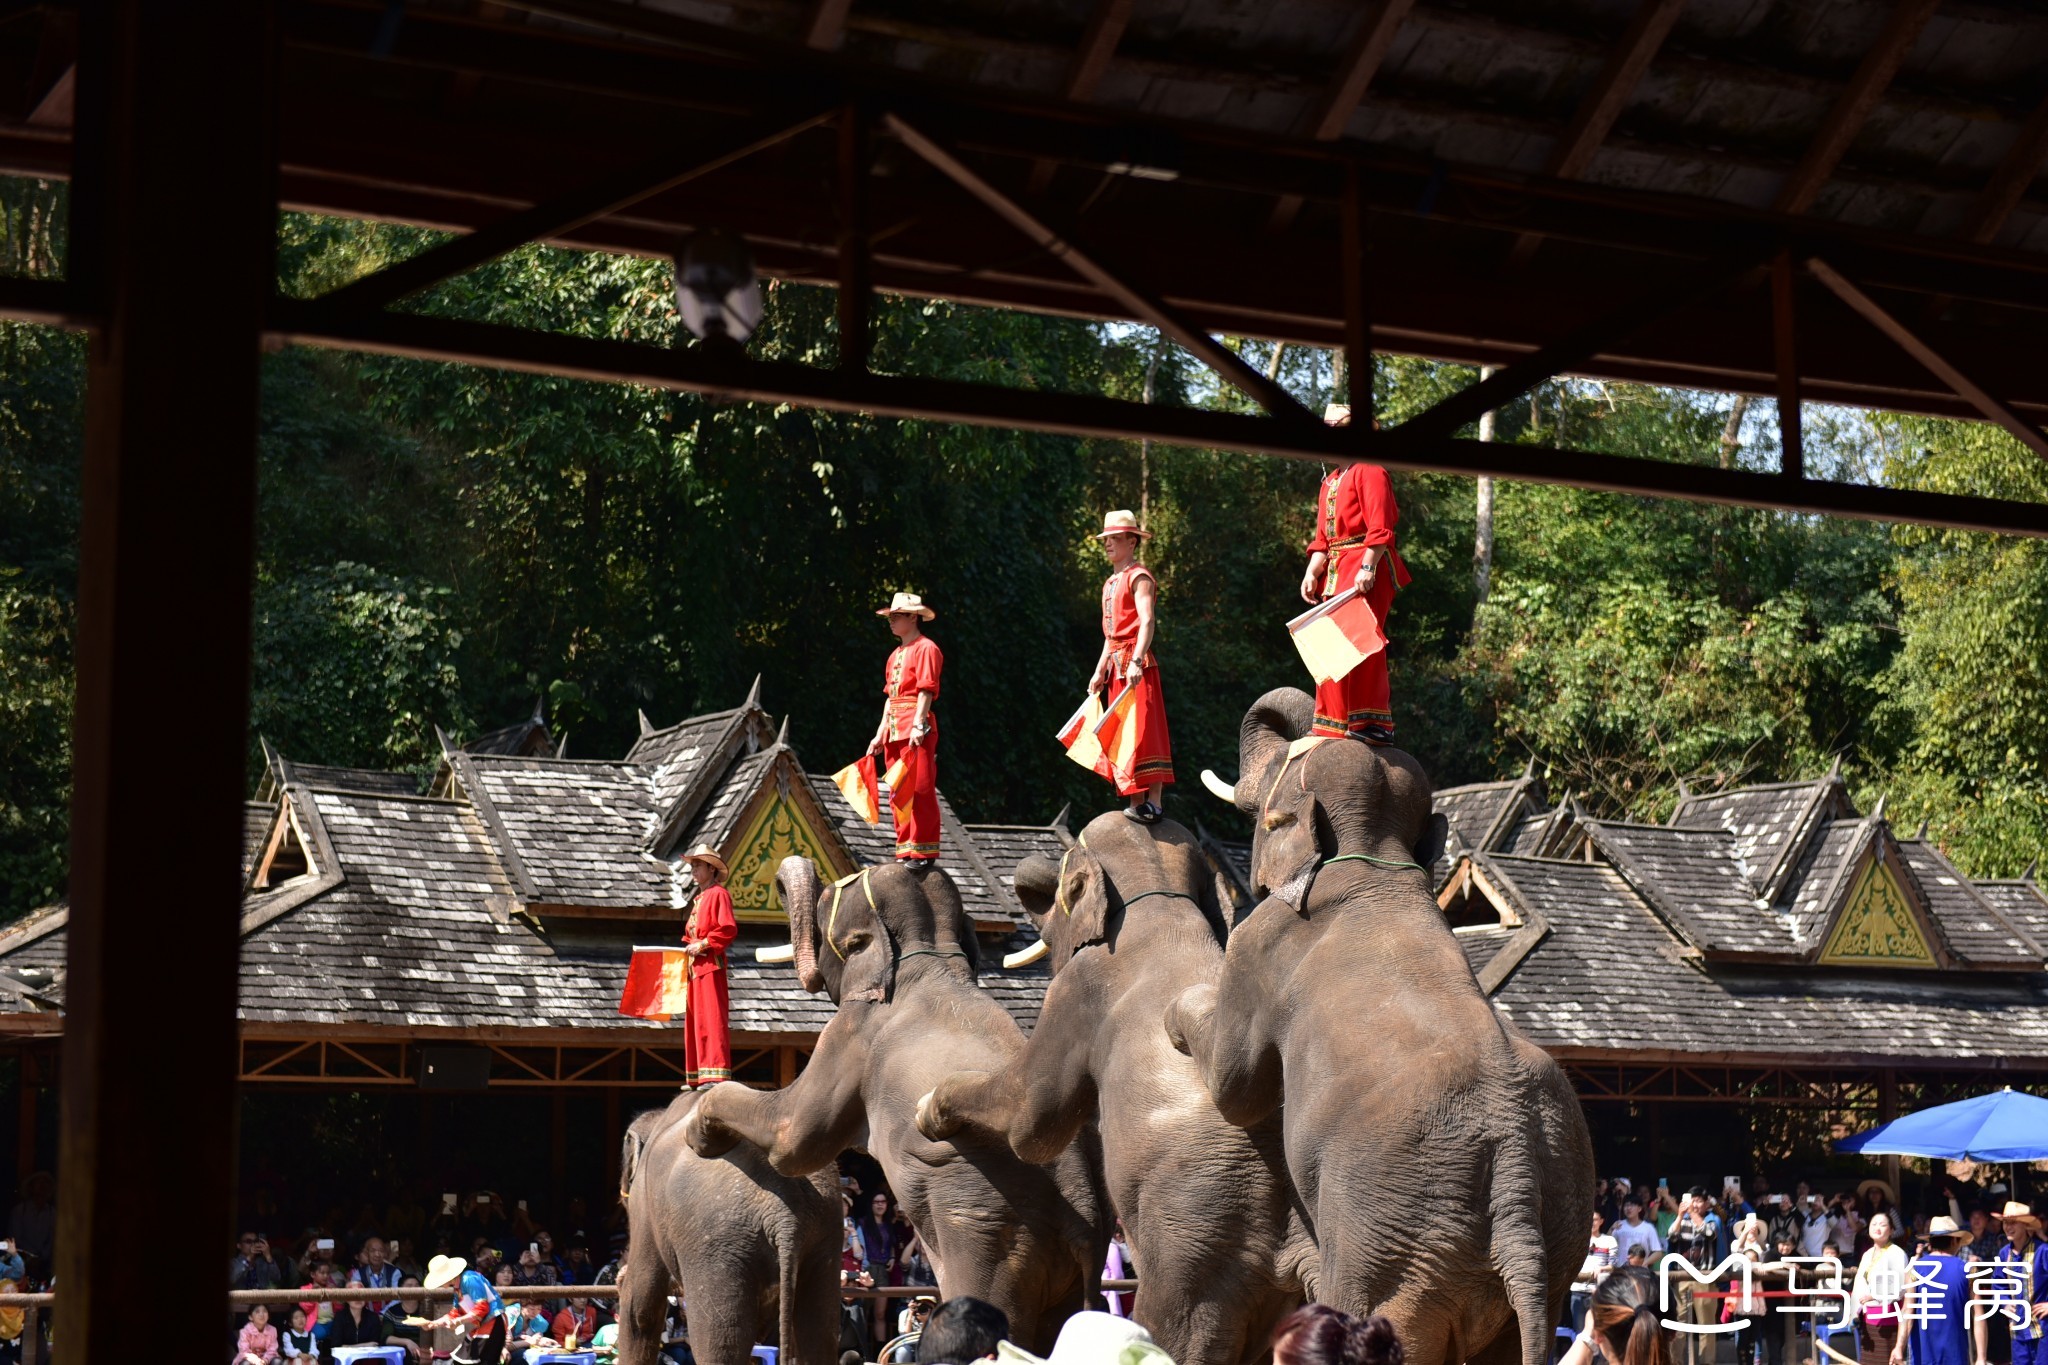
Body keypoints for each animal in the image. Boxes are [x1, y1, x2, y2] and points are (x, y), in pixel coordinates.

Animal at [606, 1088, 839, 1365]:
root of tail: (785, 1217)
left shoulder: (645, 1201)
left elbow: (641, 1304)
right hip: (822, 1236)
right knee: (819, 1331)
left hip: (716, 1243)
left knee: (720, 1340)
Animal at [684, 859, 1105, 1350]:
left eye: (827, 911)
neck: (932, 955)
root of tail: (1086, 1224)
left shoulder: (851, 1036)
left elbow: (794, 1143)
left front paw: (699, 1134)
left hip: (992, 1241)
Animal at [913, 818, 1310, 1365]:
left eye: (1063, 884)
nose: (1031, 880)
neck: (1159, 899)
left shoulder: (1077, 988)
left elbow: (1033, 1124)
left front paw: (926, 1110)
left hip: (1197, 1249)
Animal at [1171, 687, 1597, 1365]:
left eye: (1267, 819)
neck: (1376, 861)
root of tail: (1517, 1185)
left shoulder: (1260, 944)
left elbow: (1237, 1088)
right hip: (1553, 1246)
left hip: (1393, 1244)